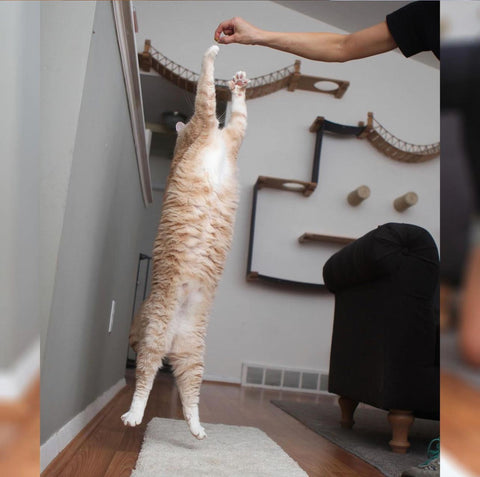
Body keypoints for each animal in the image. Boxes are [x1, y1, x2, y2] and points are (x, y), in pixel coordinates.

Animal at [120, 44, 249, 438]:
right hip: (158, 344)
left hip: (190, 357)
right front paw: (217, 59)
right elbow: (209, 90)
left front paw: (235, 81)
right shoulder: (211, 120)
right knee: (147, 384)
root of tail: (174, 337)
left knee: (187, 397)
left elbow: (233, 107)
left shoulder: (229, 131)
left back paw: (193, 427)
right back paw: (139, 416)